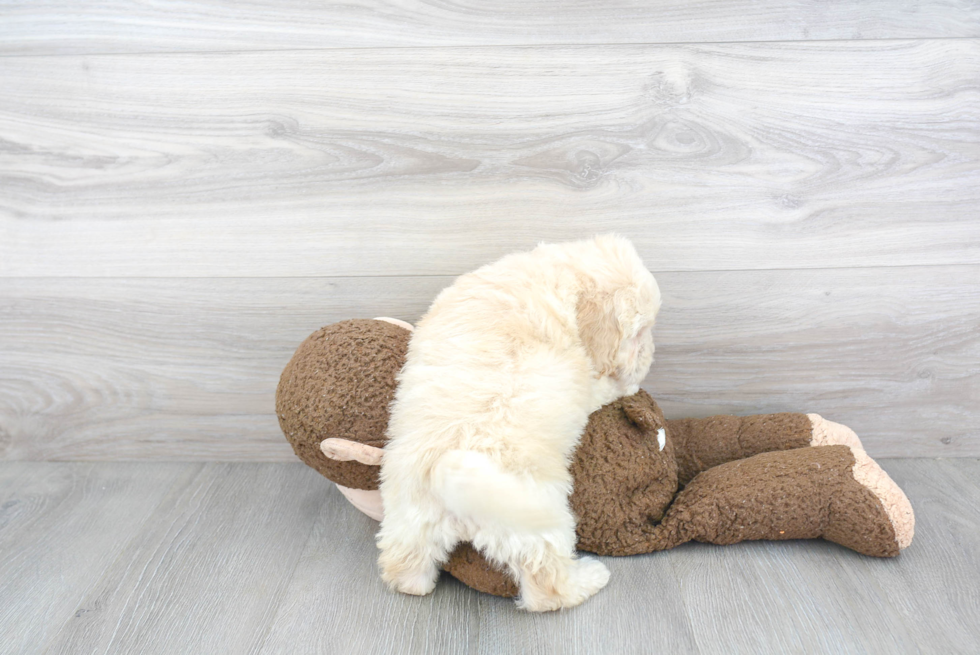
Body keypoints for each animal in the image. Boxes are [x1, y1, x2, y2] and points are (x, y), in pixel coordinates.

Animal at [378, 234, 664, 608]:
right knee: (548, 587)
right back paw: (589, 578)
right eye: (639, 332)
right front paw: (626, 385)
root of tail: (452, 489)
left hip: (410, 517)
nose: (650, 358)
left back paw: (413, 582)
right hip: (536, 525)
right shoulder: (588, 381)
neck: (558, 274)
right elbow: (605, 386)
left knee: (404, 564)